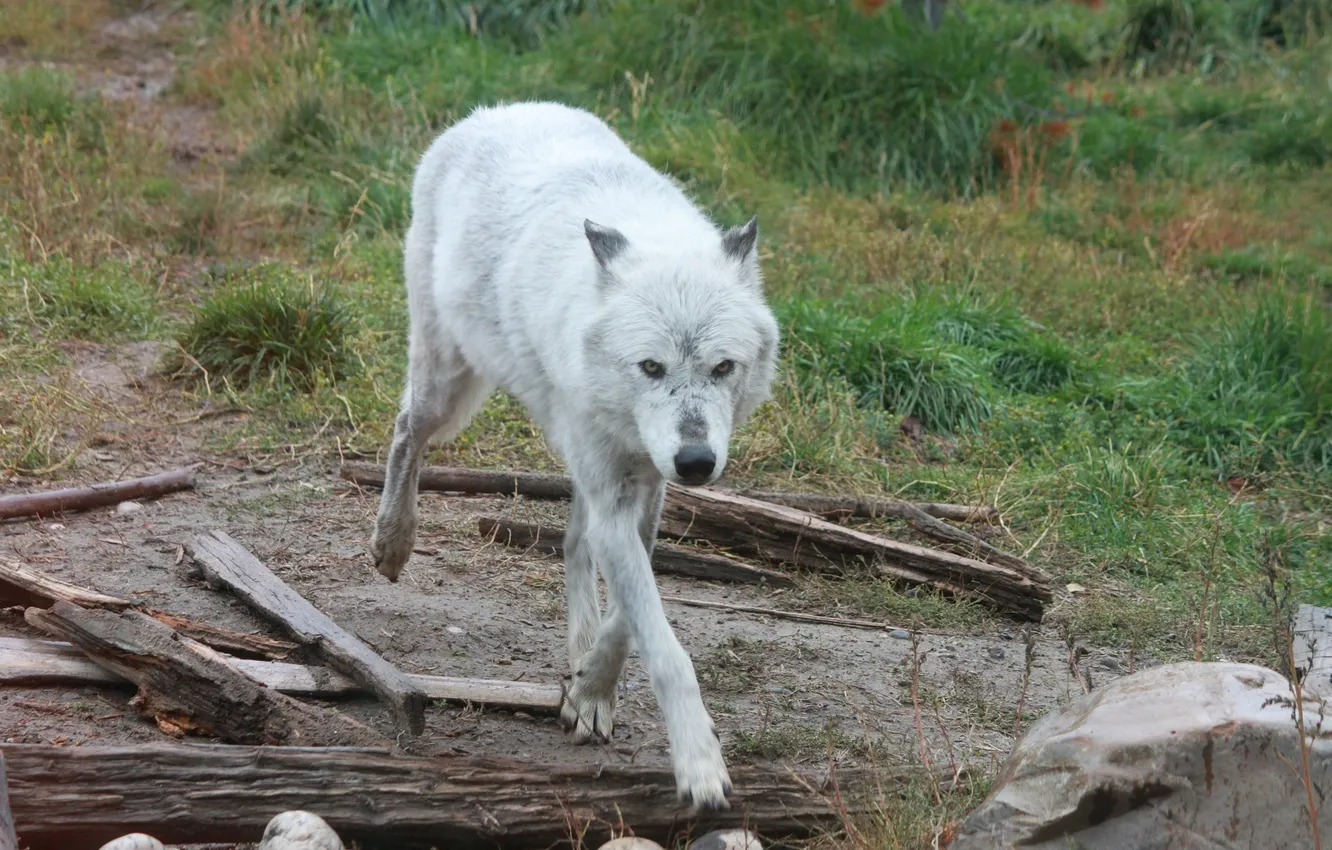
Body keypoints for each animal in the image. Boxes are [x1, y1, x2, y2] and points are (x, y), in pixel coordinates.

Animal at [367, 101, 777, 810]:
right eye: (651, 367)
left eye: (723, 367)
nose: (697, 463)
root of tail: (495, 110)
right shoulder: (620, 489)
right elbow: (664, 646)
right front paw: (698, 762)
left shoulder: (645, 487)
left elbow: (627, 614)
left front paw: (589, 688)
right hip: (446, 389)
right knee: (404, 431)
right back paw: (392, 541)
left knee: (571, 544)